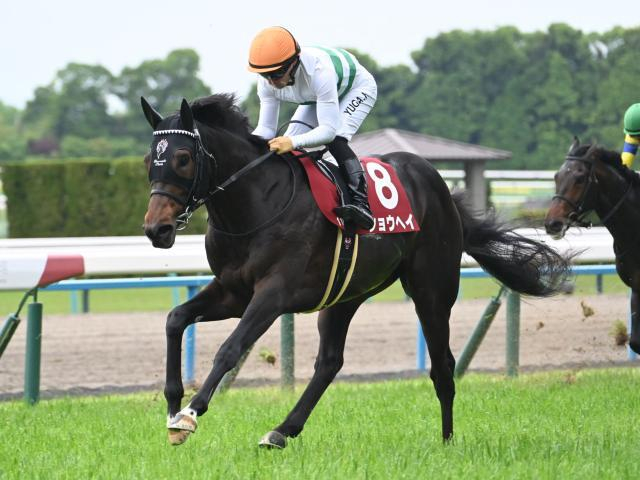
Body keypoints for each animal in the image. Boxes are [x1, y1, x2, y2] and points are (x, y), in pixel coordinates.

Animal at [141, 93, 570, 448]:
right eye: (149, 161)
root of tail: (442, 188)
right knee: (330, 362)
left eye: (182, 158)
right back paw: (281, 431)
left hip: (432, 290)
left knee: (443, 365)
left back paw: (448, 440)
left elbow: (230, 349)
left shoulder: (274, 293)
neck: (257, 204)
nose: (156, 229)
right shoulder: (233, 290)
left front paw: (190, 415)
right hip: (346, 293)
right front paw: (172, 403)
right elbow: (175, 319)